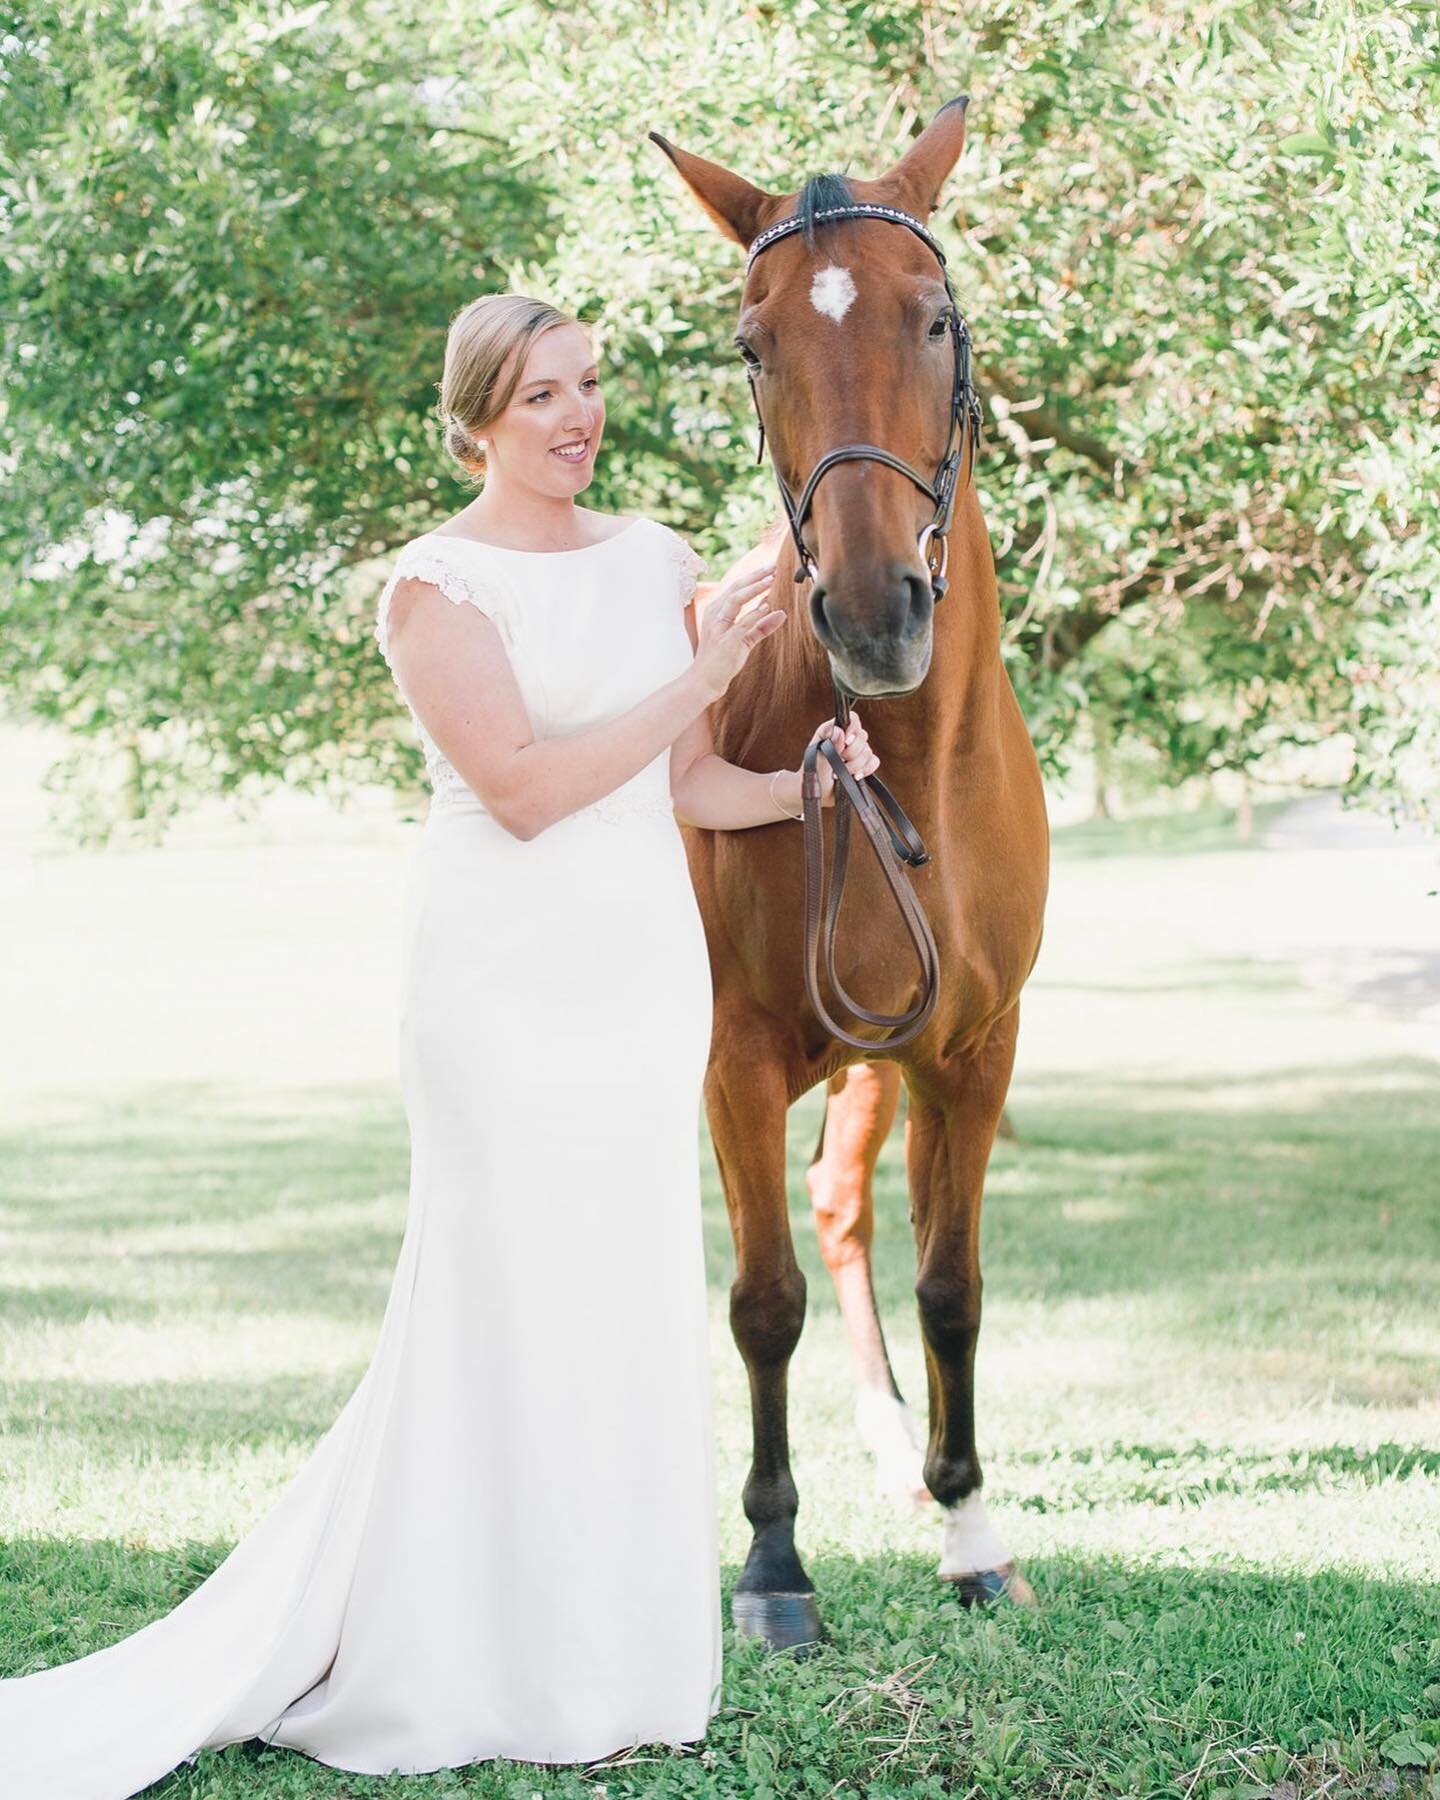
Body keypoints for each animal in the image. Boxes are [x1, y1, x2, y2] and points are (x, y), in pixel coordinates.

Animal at [648, 94, 1044, 1648]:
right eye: (755, 347)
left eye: (934, 319)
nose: (877, 614)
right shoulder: (734, 1059)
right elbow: (760, 1302)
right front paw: (772, 1564)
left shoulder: (971, 1051)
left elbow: (954, 1287)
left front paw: (969, 1526)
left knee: (842, 1203)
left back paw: (887, 1441)